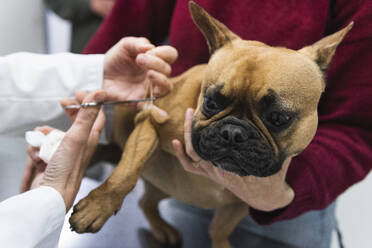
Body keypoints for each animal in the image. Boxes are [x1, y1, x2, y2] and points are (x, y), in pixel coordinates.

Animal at [69, 2, 352, 248]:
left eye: (278, 118)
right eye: (211, 102)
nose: (232, 133)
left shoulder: (239, 204)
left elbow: (219, 228)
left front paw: (221, 244)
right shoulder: (149, 123)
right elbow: (126, 173)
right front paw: (98, 206)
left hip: (163, 187)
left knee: (147, 202)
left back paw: (162, 229)